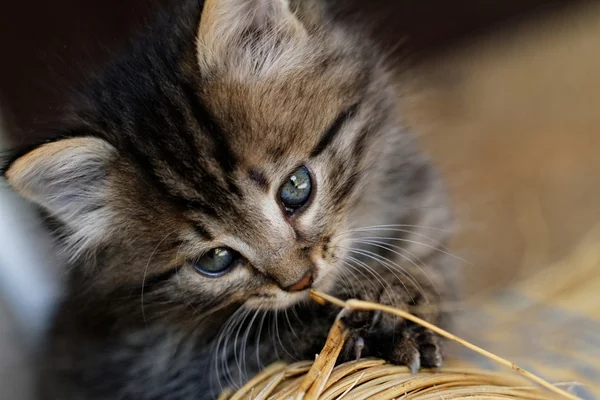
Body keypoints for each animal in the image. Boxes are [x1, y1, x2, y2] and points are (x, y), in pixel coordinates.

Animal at [2, 0, 458, 398]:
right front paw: (352, 324)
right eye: (216, 259)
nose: (300, 281)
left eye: (296, 187)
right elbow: (252, 344)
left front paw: (395, 303)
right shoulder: (151, 363)